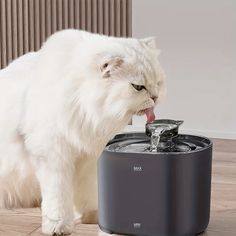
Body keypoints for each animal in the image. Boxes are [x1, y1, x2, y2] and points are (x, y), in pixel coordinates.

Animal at [0, 29, 166, 234]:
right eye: (138, 87)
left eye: (157, 83)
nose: (155, 97)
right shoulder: (53, 156)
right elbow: (58, 196)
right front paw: (58, 226)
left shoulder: (87, 157)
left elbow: (87, 190)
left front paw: (92, 215)